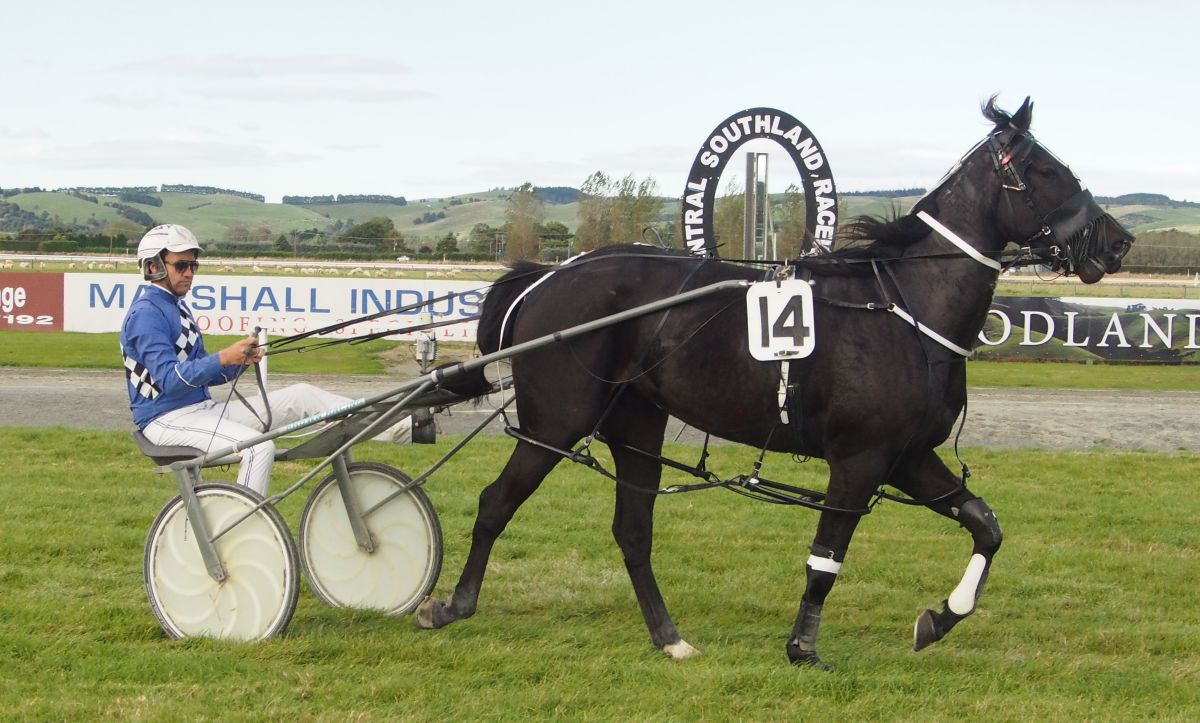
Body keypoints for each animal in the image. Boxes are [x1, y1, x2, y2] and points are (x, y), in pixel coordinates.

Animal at [414, 97, 1134, 668]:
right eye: (1047, 171)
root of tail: (546, 275)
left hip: (637, 425)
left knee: (633, 531)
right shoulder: (861, 458)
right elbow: (825, 560)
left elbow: (986, 525)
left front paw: (938, 618)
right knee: (496, 502)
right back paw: (450, 604)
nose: (1118, 240)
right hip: (556, 421)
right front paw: (803, 648)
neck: (903, 308)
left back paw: (669, 637)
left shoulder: (907, 455)